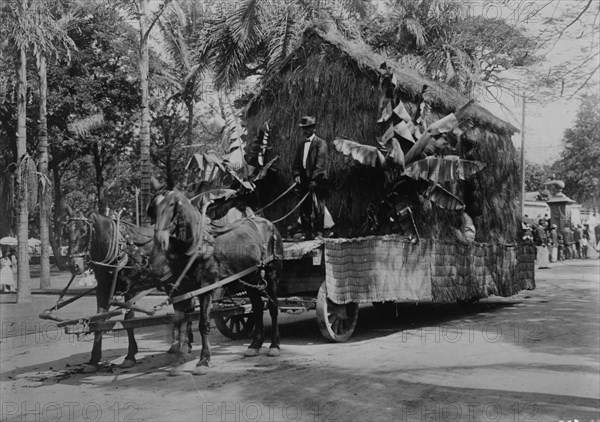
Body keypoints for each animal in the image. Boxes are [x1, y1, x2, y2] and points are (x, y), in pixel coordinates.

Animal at [61, 208, 193, 372]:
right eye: (66, 231)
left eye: (85, 231)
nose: (74, 265)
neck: (118, 249)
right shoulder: (102, 290)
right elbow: (98, 320)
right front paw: (94, 360)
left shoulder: (130, 289)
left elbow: (128, 320)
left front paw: (130, 356)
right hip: (169, 283)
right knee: (180, 306)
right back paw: (176, 344)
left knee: (187, 306)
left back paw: (186, 343)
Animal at [148, 185, 284, 376]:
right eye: (153, 208)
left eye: (173, 205)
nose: (160, 240)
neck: (197, 246)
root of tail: (269, 224)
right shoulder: (183, 291)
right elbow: (181, 322)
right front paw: (179, 360)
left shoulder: (206, 288)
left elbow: (203, 324)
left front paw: (203, 361)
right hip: (250, 276)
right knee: (257, 307)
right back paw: (255, 345)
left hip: (271, 274)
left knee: (272, 307)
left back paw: (274, 346)